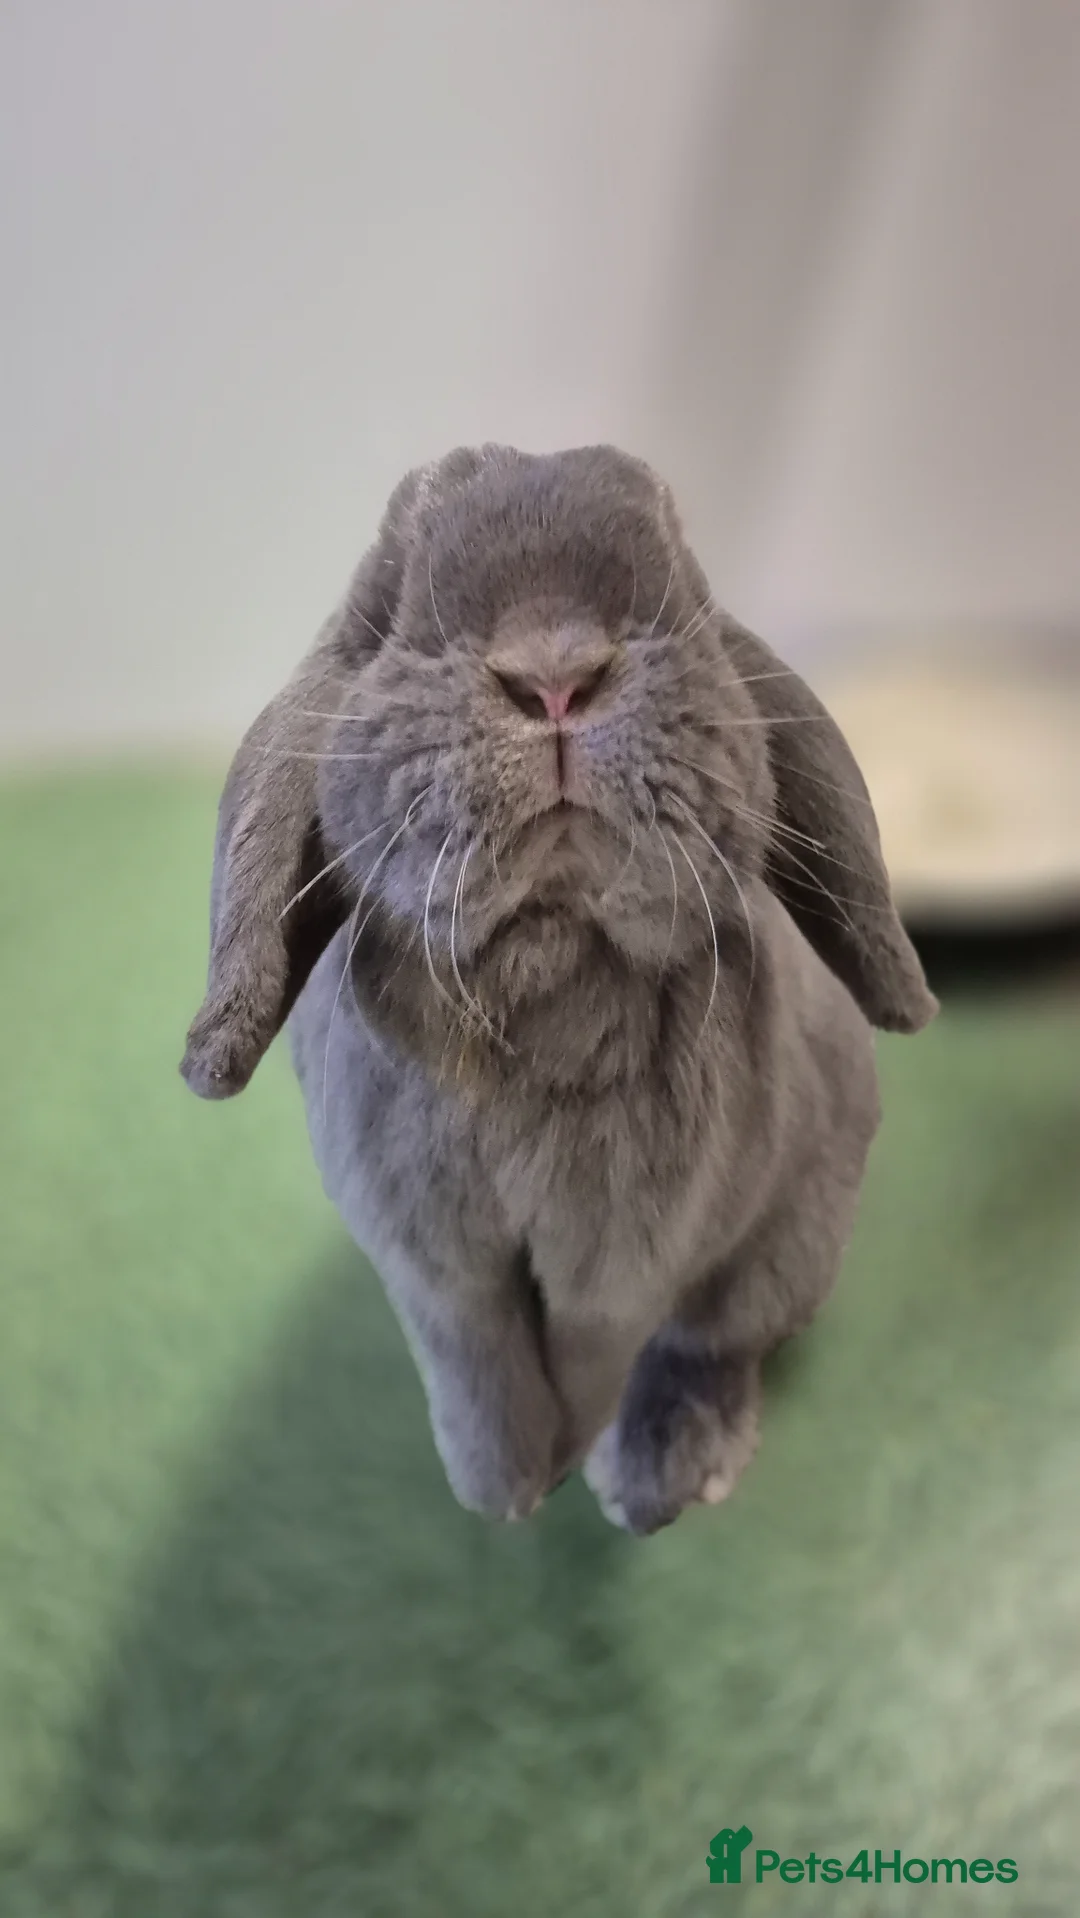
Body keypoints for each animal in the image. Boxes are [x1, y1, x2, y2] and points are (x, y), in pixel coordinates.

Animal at [181, 443, 936, 1535]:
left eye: (690, 596)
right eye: (383, 614)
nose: (554, 680)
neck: (542, 972)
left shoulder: (627, 1259)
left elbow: (590, 1359)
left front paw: (566, 1460)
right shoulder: (434, 1267)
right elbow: (481, 1373)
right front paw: (500, 1490)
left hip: (791, 1241)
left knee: (715, 1343)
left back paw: (665, 1471)